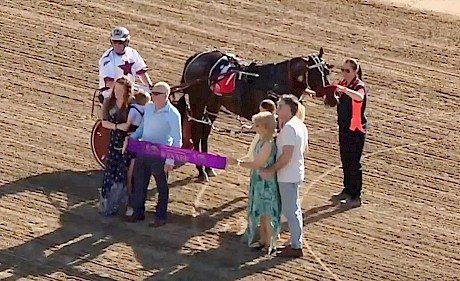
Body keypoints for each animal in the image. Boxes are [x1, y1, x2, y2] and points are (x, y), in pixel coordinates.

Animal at [172, 47, 334, 182]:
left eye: (327, 71)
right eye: (315, 73)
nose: (332, 97)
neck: (277, 81)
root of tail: (197, 57)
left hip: (214, 103)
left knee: (205, 131)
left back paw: (208, 168)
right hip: (198, 102)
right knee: (196, 132)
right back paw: (201, 170)